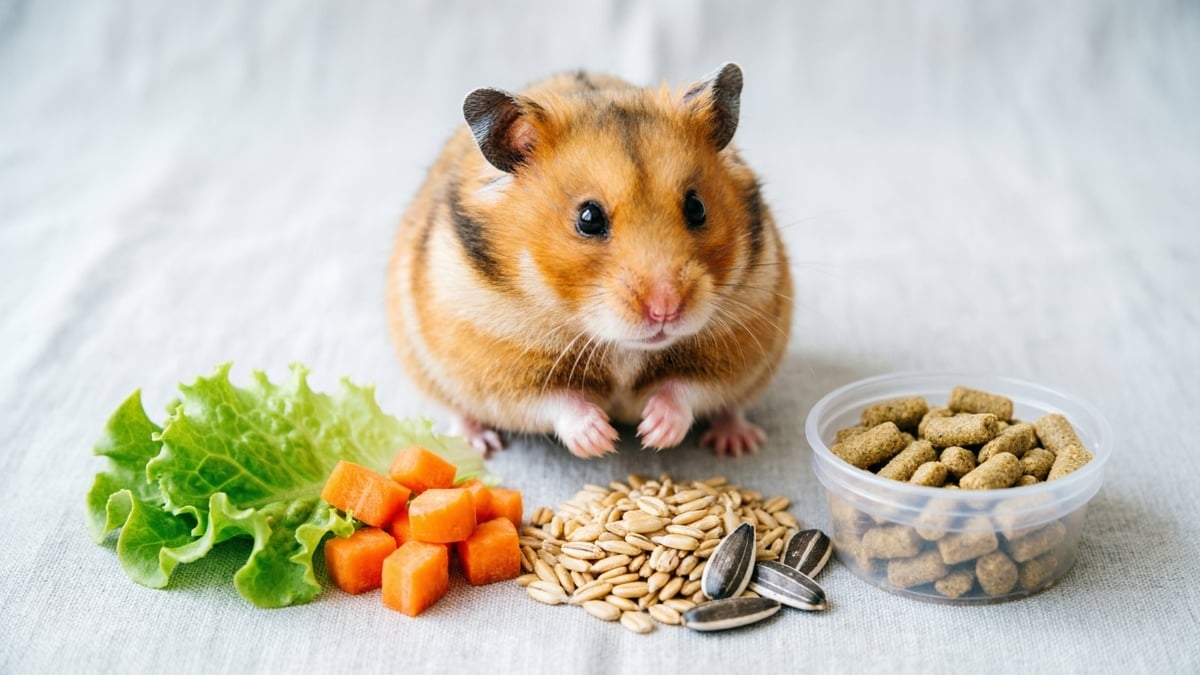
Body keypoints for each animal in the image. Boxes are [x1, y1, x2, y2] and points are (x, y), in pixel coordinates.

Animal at [386, 63, 793, 458]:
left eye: (696, 208)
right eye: (588, 218)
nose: (665, 309)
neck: (621, 344)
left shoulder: (735, 350)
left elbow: (685, 390)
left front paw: (653, 432)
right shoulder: (502, 370)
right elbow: (557, 402)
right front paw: (602, 439)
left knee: (732, 406)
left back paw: (737, 441)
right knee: (460, 411)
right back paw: (477, 443)